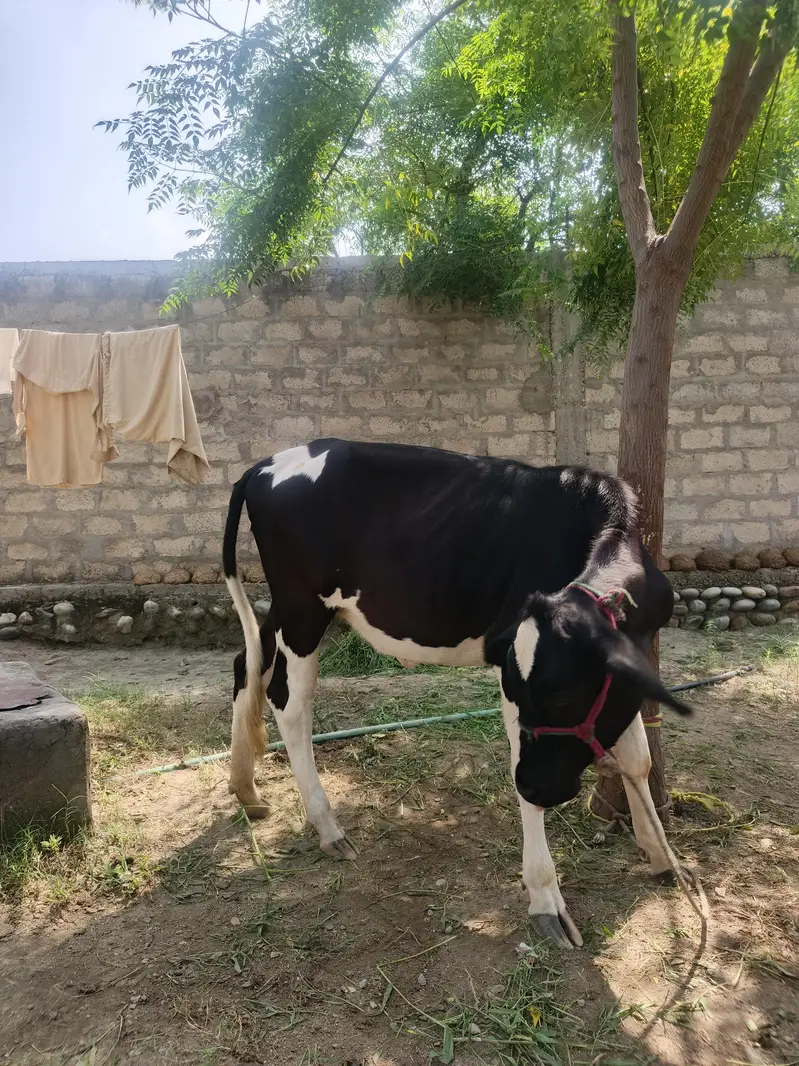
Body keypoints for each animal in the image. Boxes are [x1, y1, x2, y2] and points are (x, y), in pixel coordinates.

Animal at [222, 438, 692, 947]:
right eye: (535, 692)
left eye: (565, 696)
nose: (533, 783)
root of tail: (267, 464)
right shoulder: (509, 667)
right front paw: (546, 901)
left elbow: (638, 759)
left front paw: (664, 857)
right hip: (303, 606)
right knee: (290, 699)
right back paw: (327, 826)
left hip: (287, 609)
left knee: (246, 664)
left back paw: (244, 787)